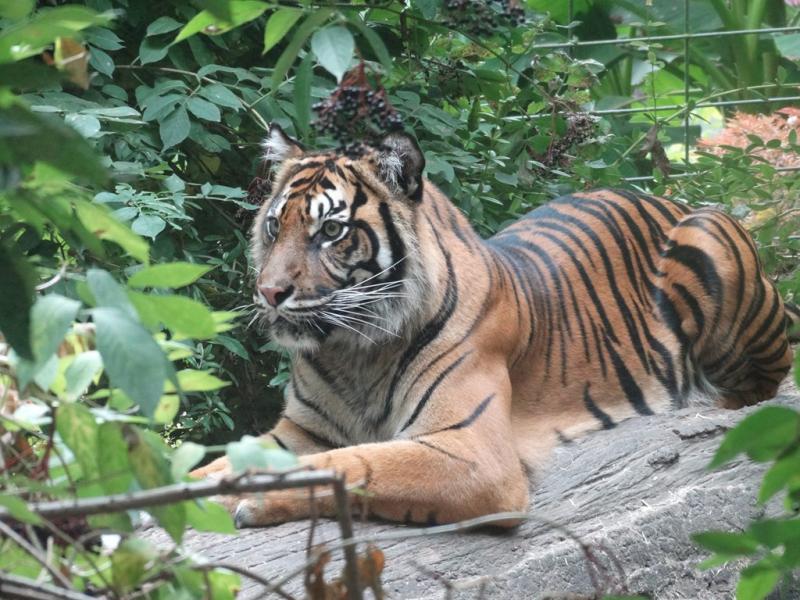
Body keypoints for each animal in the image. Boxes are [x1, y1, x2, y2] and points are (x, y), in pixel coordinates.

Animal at [193, 125, 800, 528]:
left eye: (331, 231)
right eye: (275, 226)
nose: (270, 292)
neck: (352, 353)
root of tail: (663, 196)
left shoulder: (471, 453)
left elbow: (349, 463)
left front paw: (245, 497)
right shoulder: (298, 432)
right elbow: (224, 461)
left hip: (708, 241)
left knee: (762, 383)